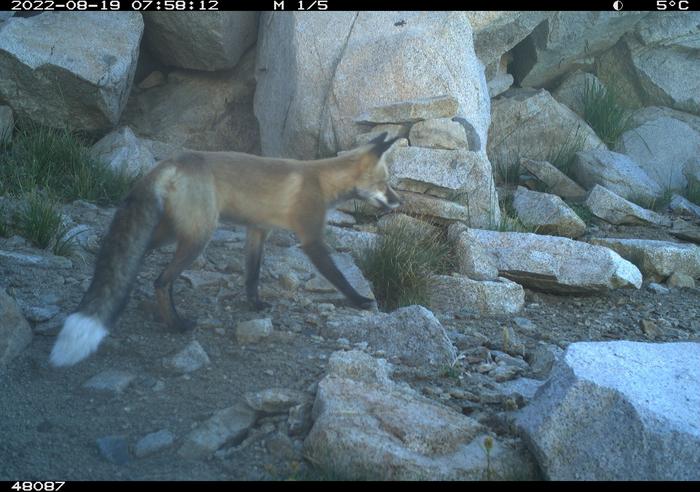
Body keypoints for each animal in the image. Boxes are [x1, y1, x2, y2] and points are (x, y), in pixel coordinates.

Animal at [49, 132, 401, 367]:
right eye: (385, 184)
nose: (400, 201)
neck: (321, 180)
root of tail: (173, 160)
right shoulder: (311, 238)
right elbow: (338, 277)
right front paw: (359, 300)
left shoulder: (257, 230)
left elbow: (252, 275)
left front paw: (255, 304)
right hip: (198, 237)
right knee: (161, 280)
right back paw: (176, 325)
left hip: (169, 232)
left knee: (129, 258)